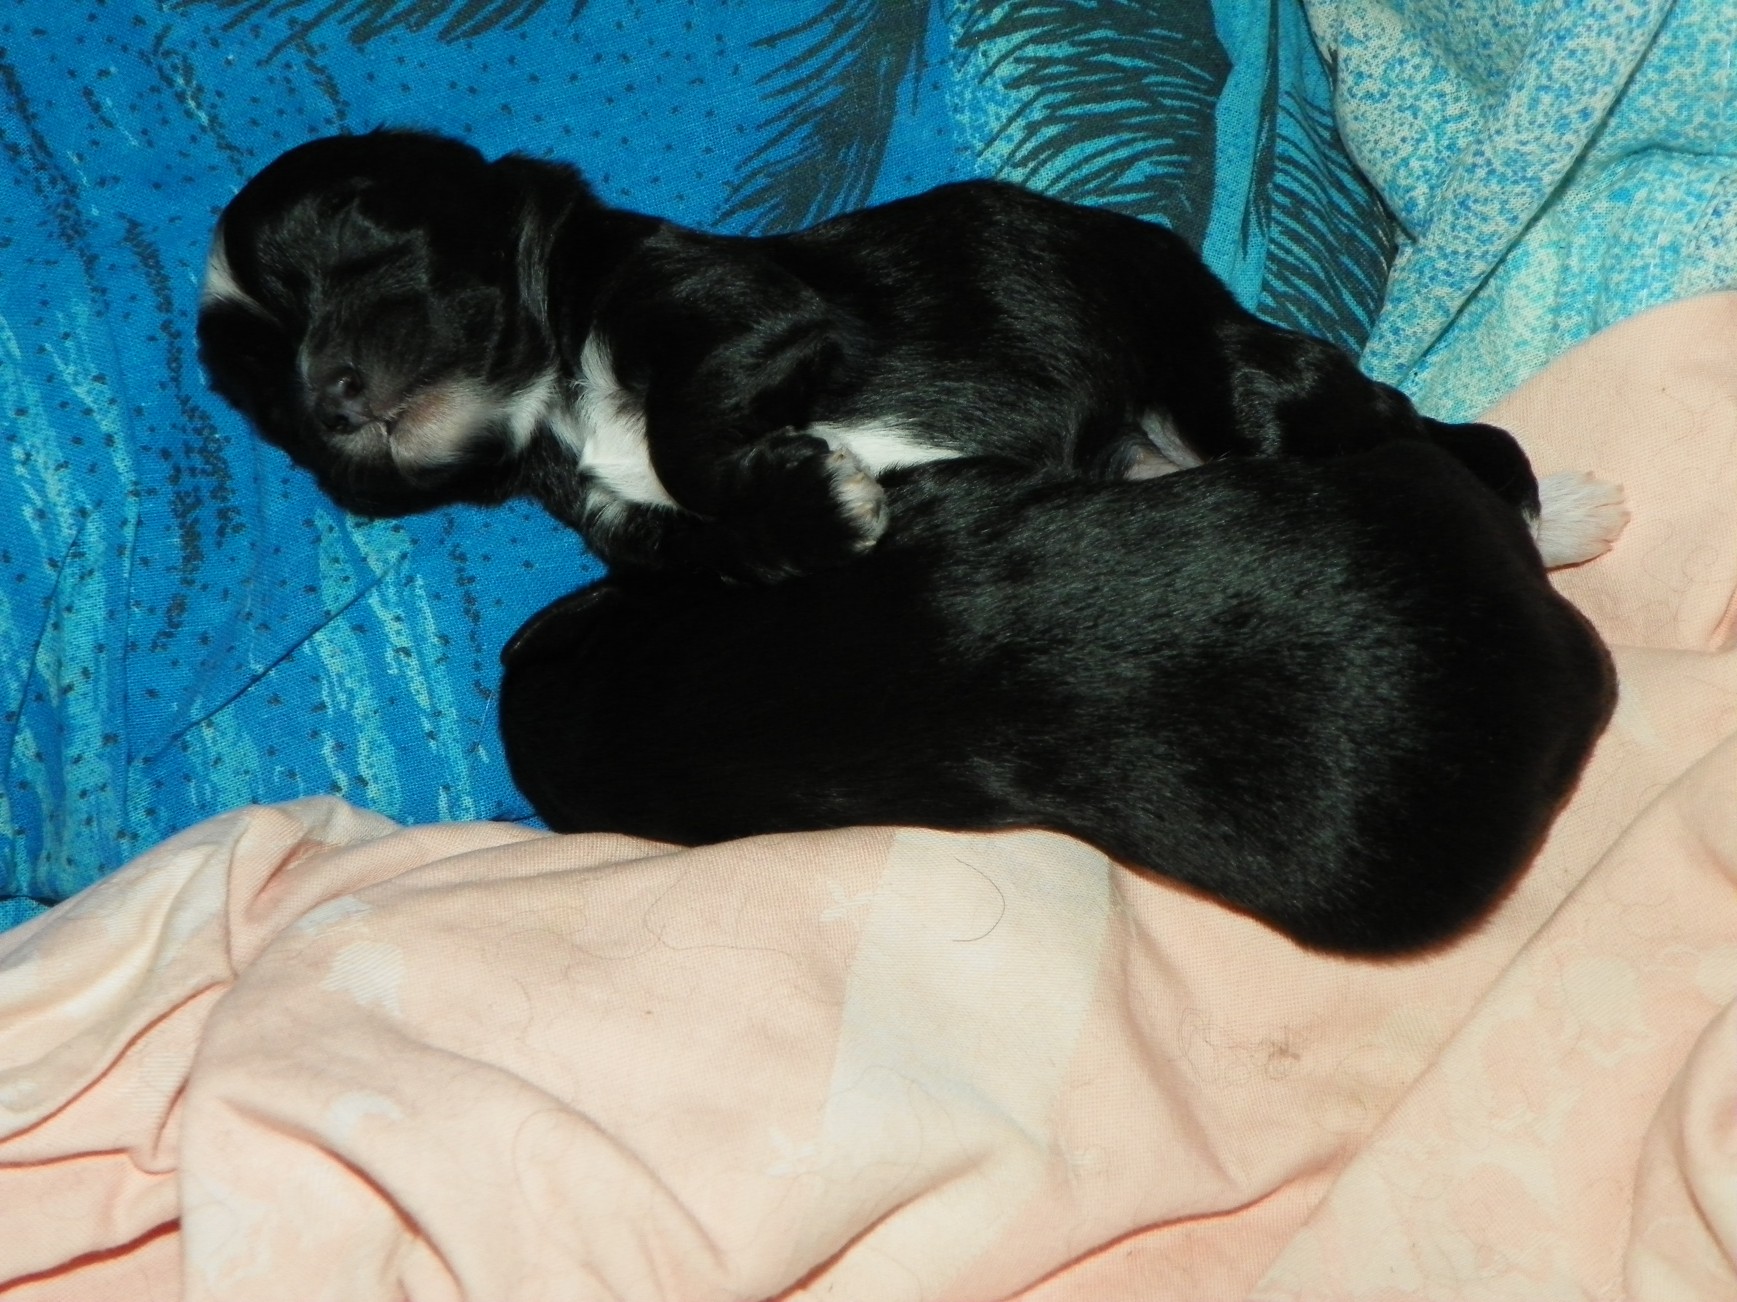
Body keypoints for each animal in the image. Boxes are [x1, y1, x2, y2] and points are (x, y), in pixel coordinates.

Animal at [197, 129, 1621, 582]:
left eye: (361, 234)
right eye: (261, 394)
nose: (327, 394)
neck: (553, 401)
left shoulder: (747, 309)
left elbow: (689, 426)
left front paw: (830, 491)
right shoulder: (642, 530)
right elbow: (728, 522)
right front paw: (819, 507)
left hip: (1226, 383)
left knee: (1431, 437)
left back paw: (1565, 508)